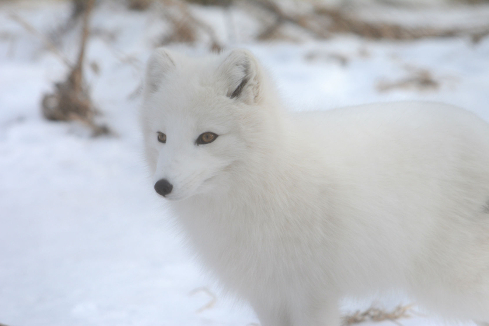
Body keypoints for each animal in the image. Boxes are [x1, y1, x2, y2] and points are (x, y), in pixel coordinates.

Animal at [140, 47, 489, 326]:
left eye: (207, 137)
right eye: (161, 137)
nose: (162, 186)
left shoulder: (311, 296)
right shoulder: (267, 296)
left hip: (455, 284)